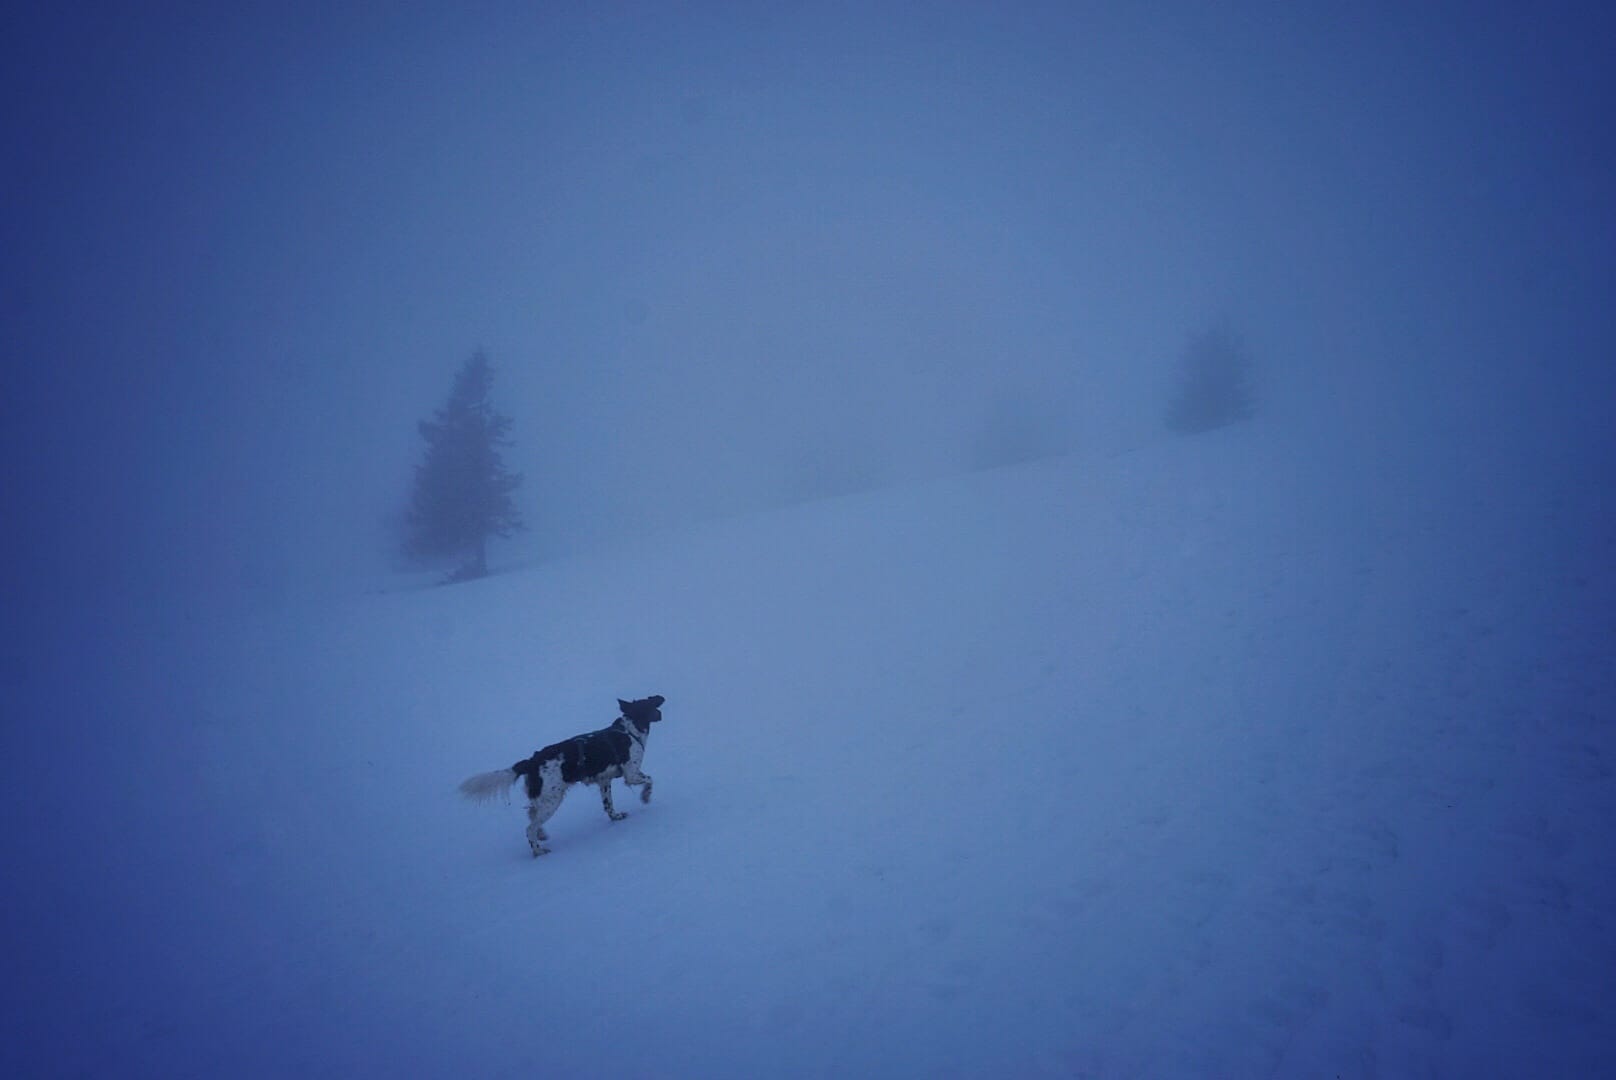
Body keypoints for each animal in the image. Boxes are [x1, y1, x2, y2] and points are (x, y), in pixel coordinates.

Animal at [458, 695, 665, 853]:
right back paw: (538, 850)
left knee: (532, 814)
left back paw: (542, 835)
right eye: (651, 705)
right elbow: (650, 780)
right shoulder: (631, 774)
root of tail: (531, 761)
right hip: (552, 800)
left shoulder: (604, 781)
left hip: (543, 798)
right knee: (529, 827)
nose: (661, 712)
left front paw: (616, 817)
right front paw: (646, 797)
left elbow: (608, 806)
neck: (629, 730)